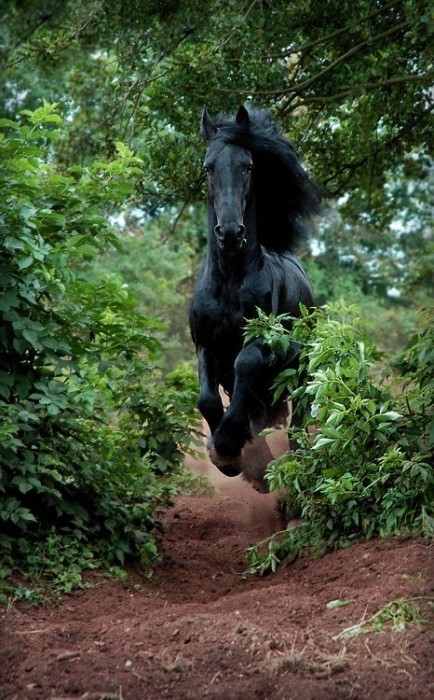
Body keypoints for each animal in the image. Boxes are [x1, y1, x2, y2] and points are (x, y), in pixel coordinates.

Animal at [189, 106, 318, 492]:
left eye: (247, 166)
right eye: (208, 167)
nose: (230, 233)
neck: (230, 280)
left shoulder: (264, 345)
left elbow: (245, 362)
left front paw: (230, 446)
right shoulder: (205, 345)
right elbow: (207, 399)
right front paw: (226, 455)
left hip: (300, 372)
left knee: (294, 427)